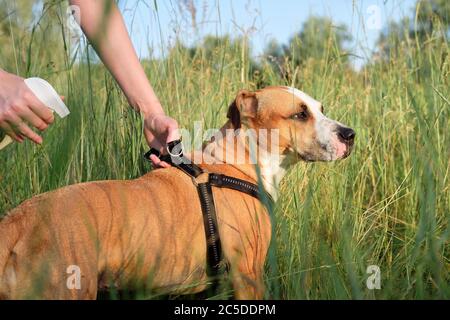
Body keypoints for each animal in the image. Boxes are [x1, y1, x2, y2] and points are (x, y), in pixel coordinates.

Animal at [0, 85, 354, 300]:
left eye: (320, 108)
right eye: (300, 114)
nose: (350, 134)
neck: (236, 163)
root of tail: (18, 220)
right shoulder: (249, 275)